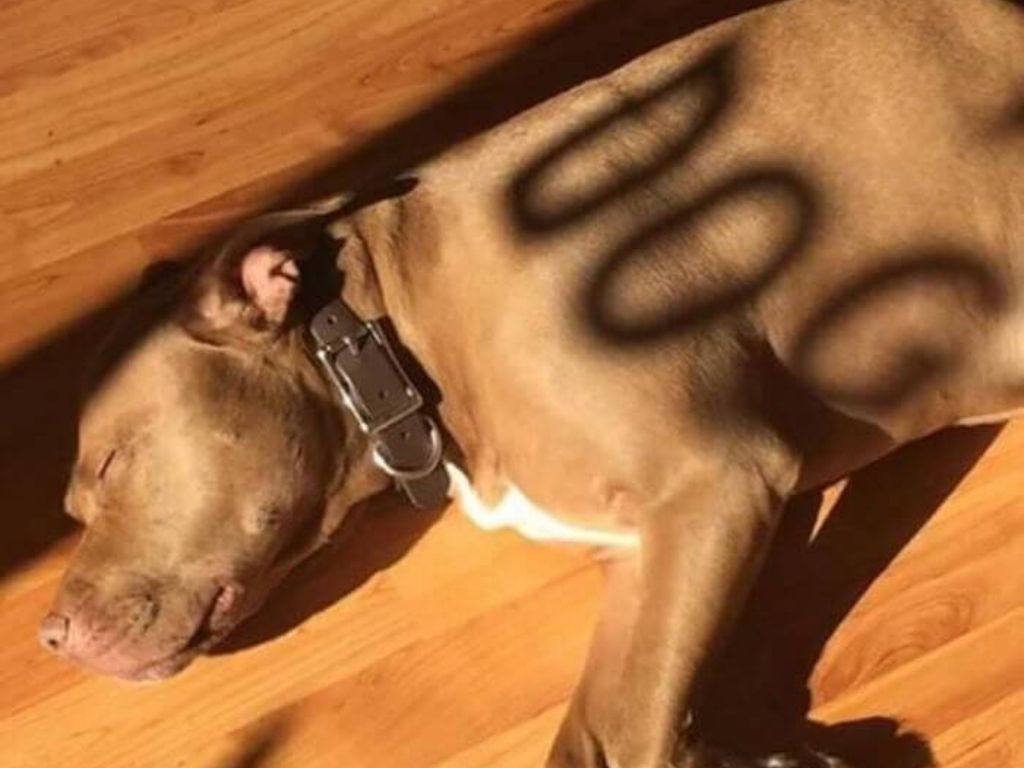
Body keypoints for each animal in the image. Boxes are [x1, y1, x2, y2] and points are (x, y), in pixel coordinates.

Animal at [39, 0, 1024, 765]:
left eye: (114, 465)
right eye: (77, 507)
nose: (49, 636)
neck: (390, 333)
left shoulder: (716, 485)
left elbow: (627, 734)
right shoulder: (646, 554)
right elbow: (598, 732)